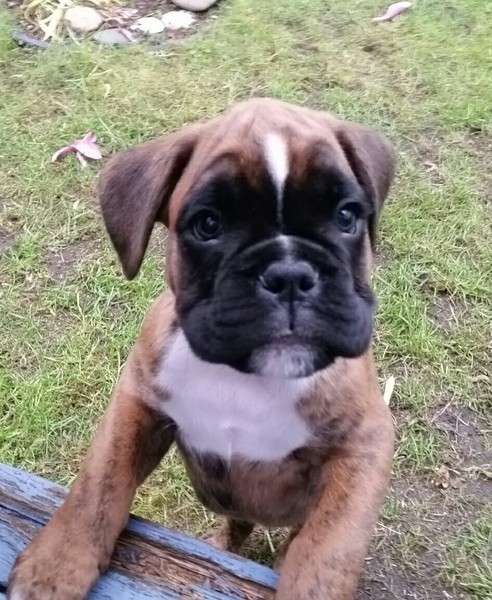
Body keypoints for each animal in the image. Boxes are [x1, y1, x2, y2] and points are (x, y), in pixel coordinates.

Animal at [8, 98, 396, 600]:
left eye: (347, 216)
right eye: (208, 225)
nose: (289, 274)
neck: (244, 378)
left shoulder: (365, 443)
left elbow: (328, 551)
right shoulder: (136, 406)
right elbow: (98, 485)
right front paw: (55, 564)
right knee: (238, 522)